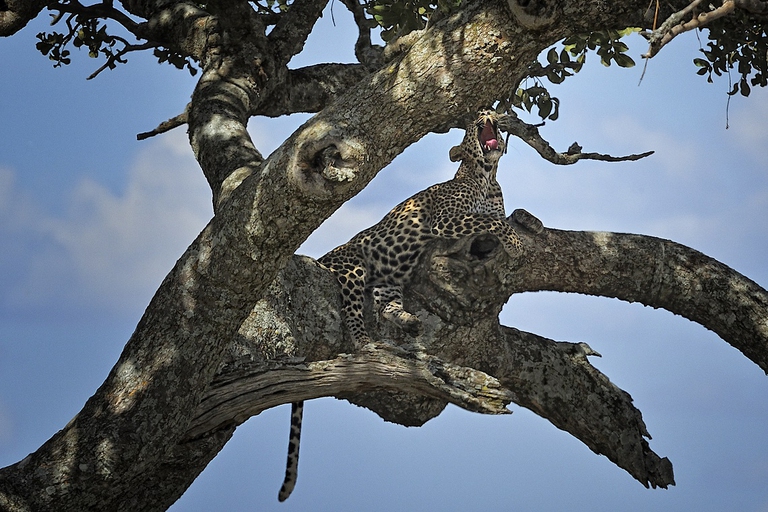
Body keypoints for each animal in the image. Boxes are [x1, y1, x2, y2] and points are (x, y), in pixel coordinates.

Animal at [277, 109, 524, 501]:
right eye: (474, 122)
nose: (485, 112)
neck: (487, 176)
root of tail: (325, 258)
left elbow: (496, 218)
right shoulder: (446, 218)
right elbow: (490, 220)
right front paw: (515, 244)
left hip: (388, 279)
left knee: (383, 306)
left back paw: (410, 322)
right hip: (353, 266)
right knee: (354, 315)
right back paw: (368, 342)